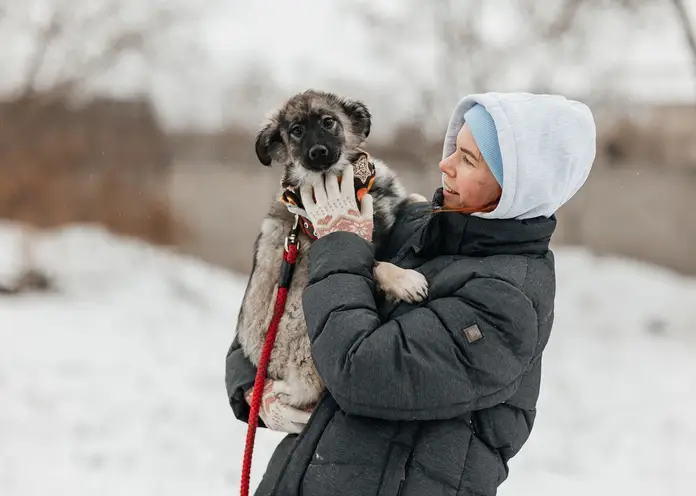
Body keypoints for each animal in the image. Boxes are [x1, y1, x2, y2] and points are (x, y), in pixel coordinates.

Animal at [237, 91, 426, 408]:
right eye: (296, 131)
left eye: (328, 122)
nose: (318, 153)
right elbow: (374, 263)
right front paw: (406, 281)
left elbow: (412, 198)